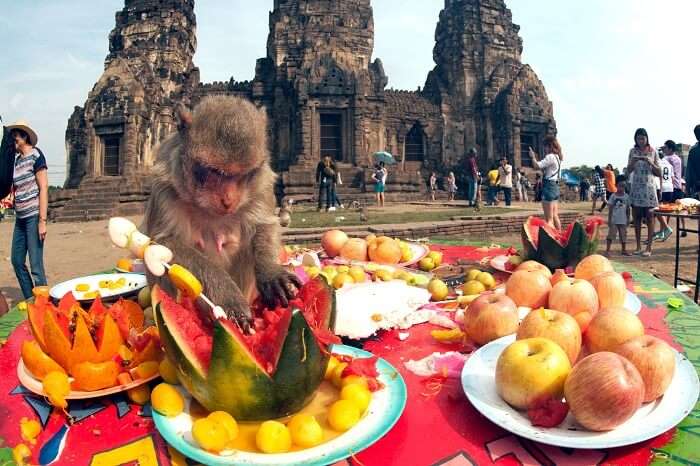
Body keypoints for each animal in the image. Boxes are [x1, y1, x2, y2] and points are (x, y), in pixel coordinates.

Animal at [144, 94, 302, 328]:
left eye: (244, 174)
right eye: (214, 171)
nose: (228, 200)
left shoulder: (262, 184)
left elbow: (264, 225)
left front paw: (271, 273)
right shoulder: (164, 186)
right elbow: (163, 242)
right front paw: (228, 296)